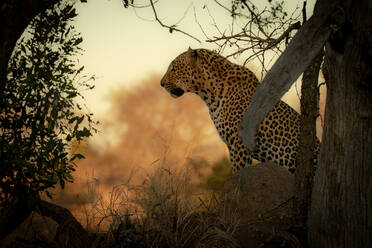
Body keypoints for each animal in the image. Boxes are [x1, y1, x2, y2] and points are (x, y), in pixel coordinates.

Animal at [159, 47, 316, 173]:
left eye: (173, 68)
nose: (161, 83)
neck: (209, 95)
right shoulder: (231, 146)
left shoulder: (240, 143)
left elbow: (238, 172)